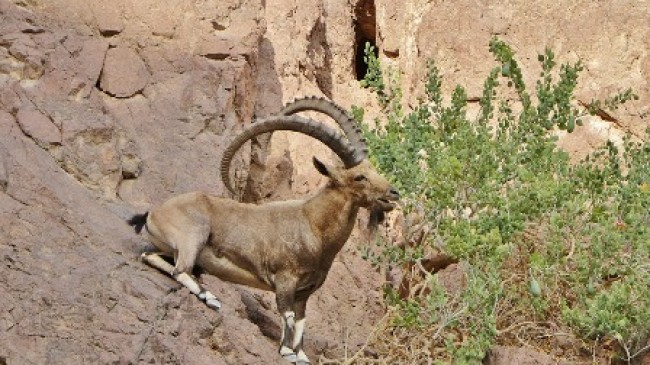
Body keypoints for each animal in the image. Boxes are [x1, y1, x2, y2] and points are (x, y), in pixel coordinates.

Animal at [126, 96, 398, 364]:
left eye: (373, 170)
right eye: (359, 177)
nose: (393, 193)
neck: (313, 226)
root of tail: (152, 214)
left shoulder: (305, 292)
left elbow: (301, 321)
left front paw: (301, 354)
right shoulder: (285, 278)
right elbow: (286, 314)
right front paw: (287, 351)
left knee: (151, 256)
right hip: (193, 236)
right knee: (180, 270)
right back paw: (210, 297)